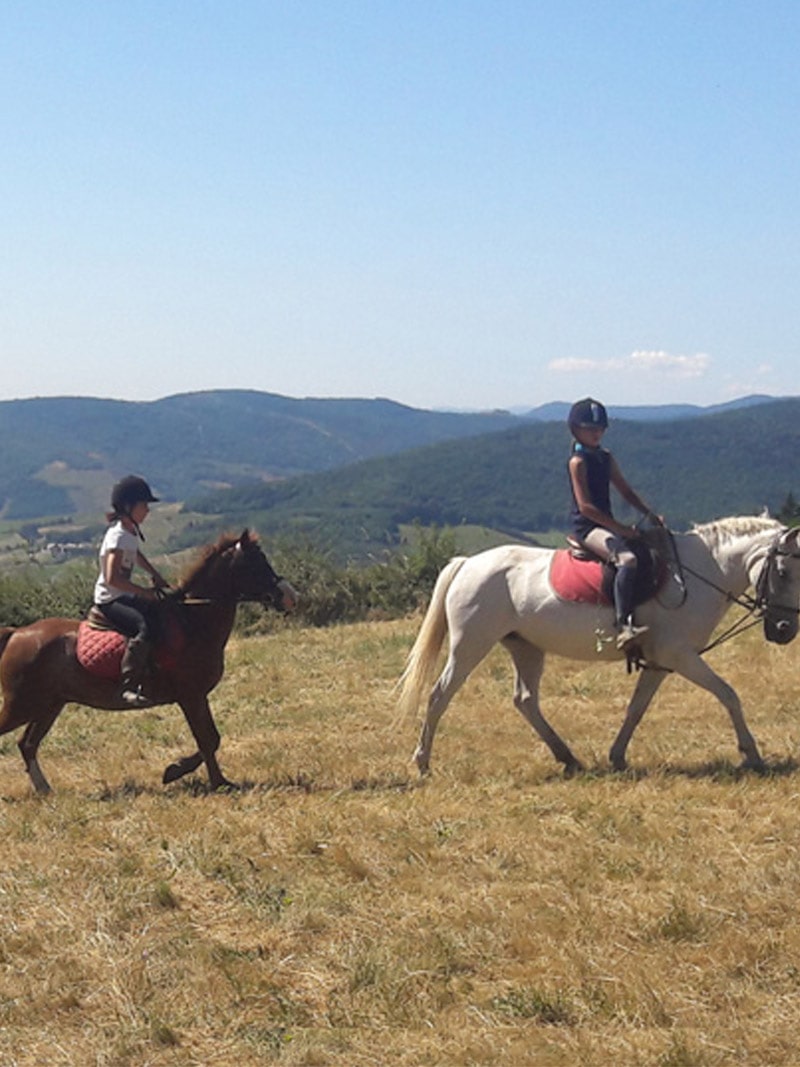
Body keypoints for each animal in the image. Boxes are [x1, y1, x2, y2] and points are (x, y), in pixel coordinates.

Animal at [0, 529, 298, 798]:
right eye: (255, 563)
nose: (289, 595)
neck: (193, 622)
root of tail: (16, 633)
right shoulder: (191, 695)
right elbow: (208, 739)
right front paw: (191, 775)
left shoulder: (195, 696)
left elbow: (210, 739)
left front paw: (211, 779)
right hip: (23, 705)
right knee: (22, 741)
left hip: (49, 705)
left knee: (27, 744)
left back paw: (45, 790)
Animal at [401, 516, 800, 776]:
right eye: (783, 573)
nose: (784, 630)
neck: (697, 574)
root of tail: (468, 563)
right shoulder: (680, 655)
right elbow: (728, 694)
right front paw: (751, 754)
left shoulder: (660, 662)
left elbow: (636, 709)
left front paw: (618, 756)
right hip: (470, 645)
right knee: (439, 695)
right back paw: (422, 761)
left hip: (526, 647)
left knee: (525, 700)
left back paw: (568, 757)